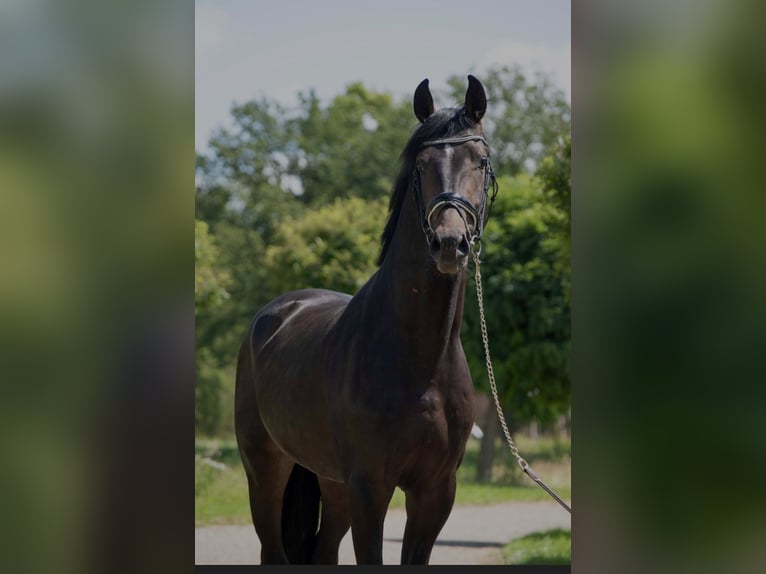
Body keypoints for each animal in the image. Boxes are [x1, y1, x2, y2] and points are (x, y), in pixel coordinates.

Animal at [234, 74, 498, 564]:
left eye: (482, 161)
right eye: (421, 166)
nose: (449, 244)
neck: (419, 359)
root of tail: (274, 314)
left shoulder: (435, 493)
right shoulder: (370, 488)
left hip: (332, 484)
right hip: (266, 471)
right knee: (273, 548)